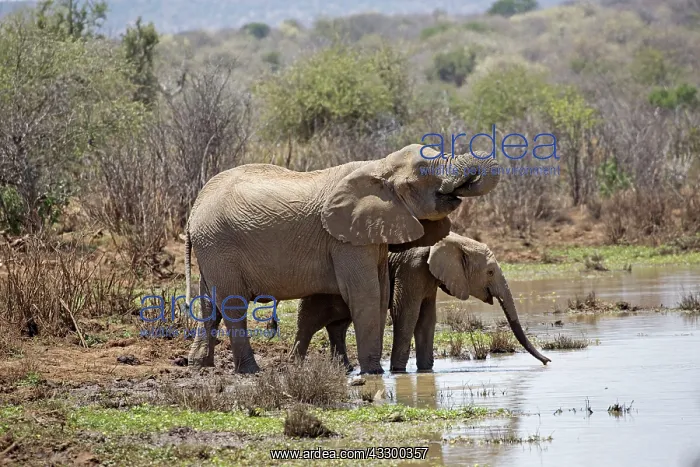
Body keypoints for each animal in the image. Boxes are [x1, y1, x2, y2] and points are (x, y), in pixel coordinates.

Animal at [183, 144, 501, 374]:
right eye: (424, 171)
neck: (378, 166)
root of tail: (194, 207)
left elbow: (381, 293)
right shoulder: (344, 240)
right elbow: (366, 293)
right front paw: (373, 373)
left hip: (210, 247)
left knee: (210, 301)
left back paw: (200, 365)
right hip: (219, 243)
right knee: (232, 305)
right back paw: (250, 371)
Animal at [291, 233, 551, 372]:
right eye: (489, 272)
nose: (548, 361)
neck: (453, 239)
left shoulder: (428, 276)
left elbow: (427, 318)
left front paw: (426, 370)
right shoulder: (412, 268)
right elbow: (405, 312)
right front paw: (398, 371)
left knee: (338, 326)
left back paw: (345, 370)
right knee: (308, 324)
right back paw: (296, 366)